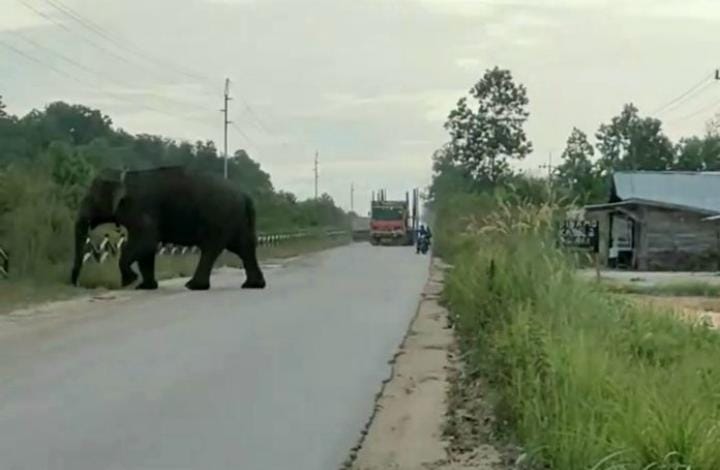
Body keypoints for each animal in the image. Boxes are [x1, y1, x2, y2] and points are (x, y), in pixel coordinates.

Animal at [69, 165, 268, 290]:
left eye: (90, 198)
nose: (75, 284)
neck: (124, 175)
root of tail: (245, 196)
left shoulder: (142, 210)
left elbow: (145, 242)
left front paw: (129, 282)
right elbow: (147, 249)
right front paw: (144, 287)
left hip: (219, 217)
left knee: (212, 248)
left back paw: (194, 286)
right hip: (236, 220)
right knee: (244, 247)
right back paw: (252, 285)